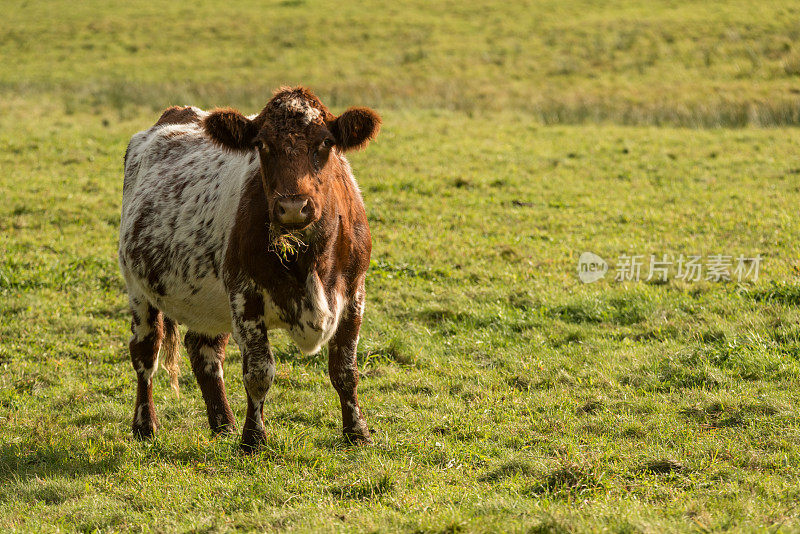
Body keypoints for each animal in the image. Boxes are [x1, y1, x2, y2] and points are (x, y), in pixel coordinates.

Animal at [118, 88, 382, 452]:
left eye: (326, 142)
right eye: (261, 144)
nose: (293, 207)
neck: (310, 259)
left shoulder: (355, 293)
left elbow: (345, 370)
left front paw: (357, 432)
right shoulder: (245, 296)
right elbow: (259, 373)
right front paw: (253, 439)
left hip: (208, 299)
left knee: (203, 350)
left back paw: (223, 423)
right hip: (138, 289)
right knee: (145, 352)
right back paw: (145, 425)